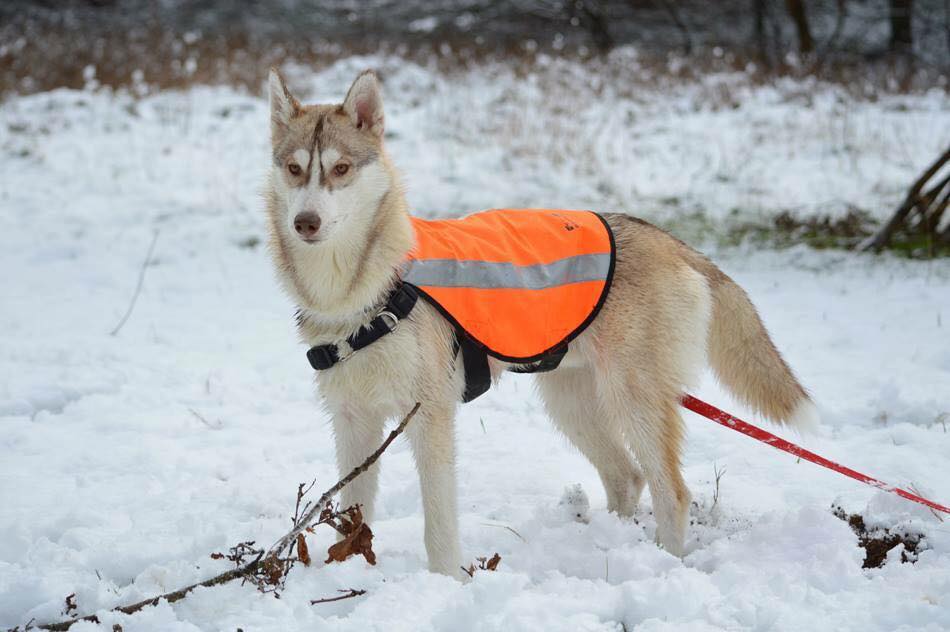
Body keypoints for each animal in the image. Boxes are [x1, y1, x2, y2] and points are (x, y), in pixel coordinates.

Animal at [266, 69, 820, 576]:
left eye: (340, 168)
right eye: (294, 169)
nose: (306, 222)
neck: (362, 293)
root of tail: (670, 240)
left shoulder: (430, 419)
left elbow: (438, 528)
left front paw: (445, 584)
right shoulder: (353, 422)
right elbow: (351, 514)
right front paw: (346, 572)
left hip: (634, 398)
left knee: (673, 492)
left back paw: (664, 565)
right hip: (571, 401)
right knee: (625, 476)